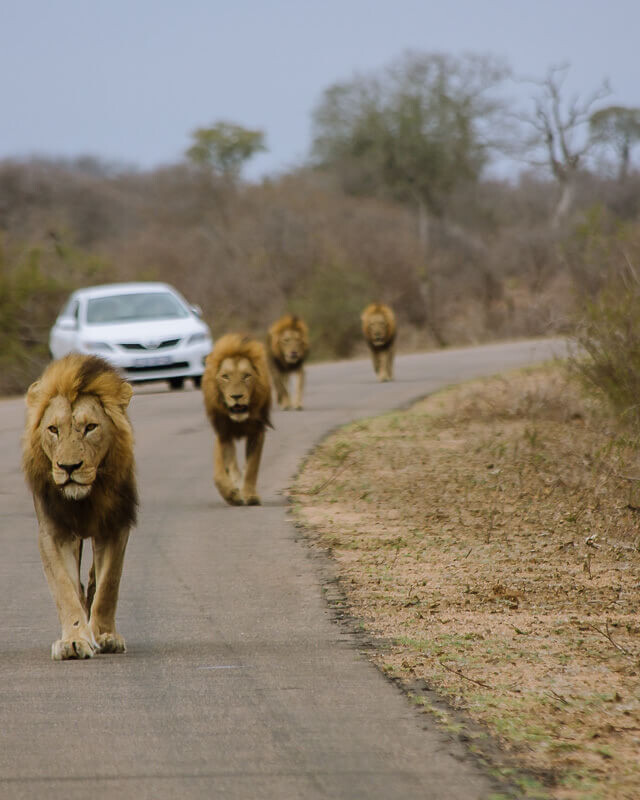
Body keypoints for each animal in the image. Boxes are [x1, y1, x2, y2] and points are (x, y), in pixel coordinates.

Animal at [22, 354, 137, 661]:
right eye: (53, 429)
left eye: (90, 427)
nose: (69, 467)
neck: (86, 497)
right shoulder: (54, 533)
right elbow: (64, 589)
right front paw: (73, 641)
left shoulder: (114, 527)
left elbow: (109, 585)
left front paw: (105, 636)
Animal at [202, 333, 272, 506]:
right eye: (225, 377)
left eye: (246, 376)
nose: (236, 396)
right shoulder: (223, 433)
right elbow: (226, 467)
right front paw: (232, 494)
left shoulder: (257, 431)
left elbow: (252, 466)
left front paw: (250, 495)